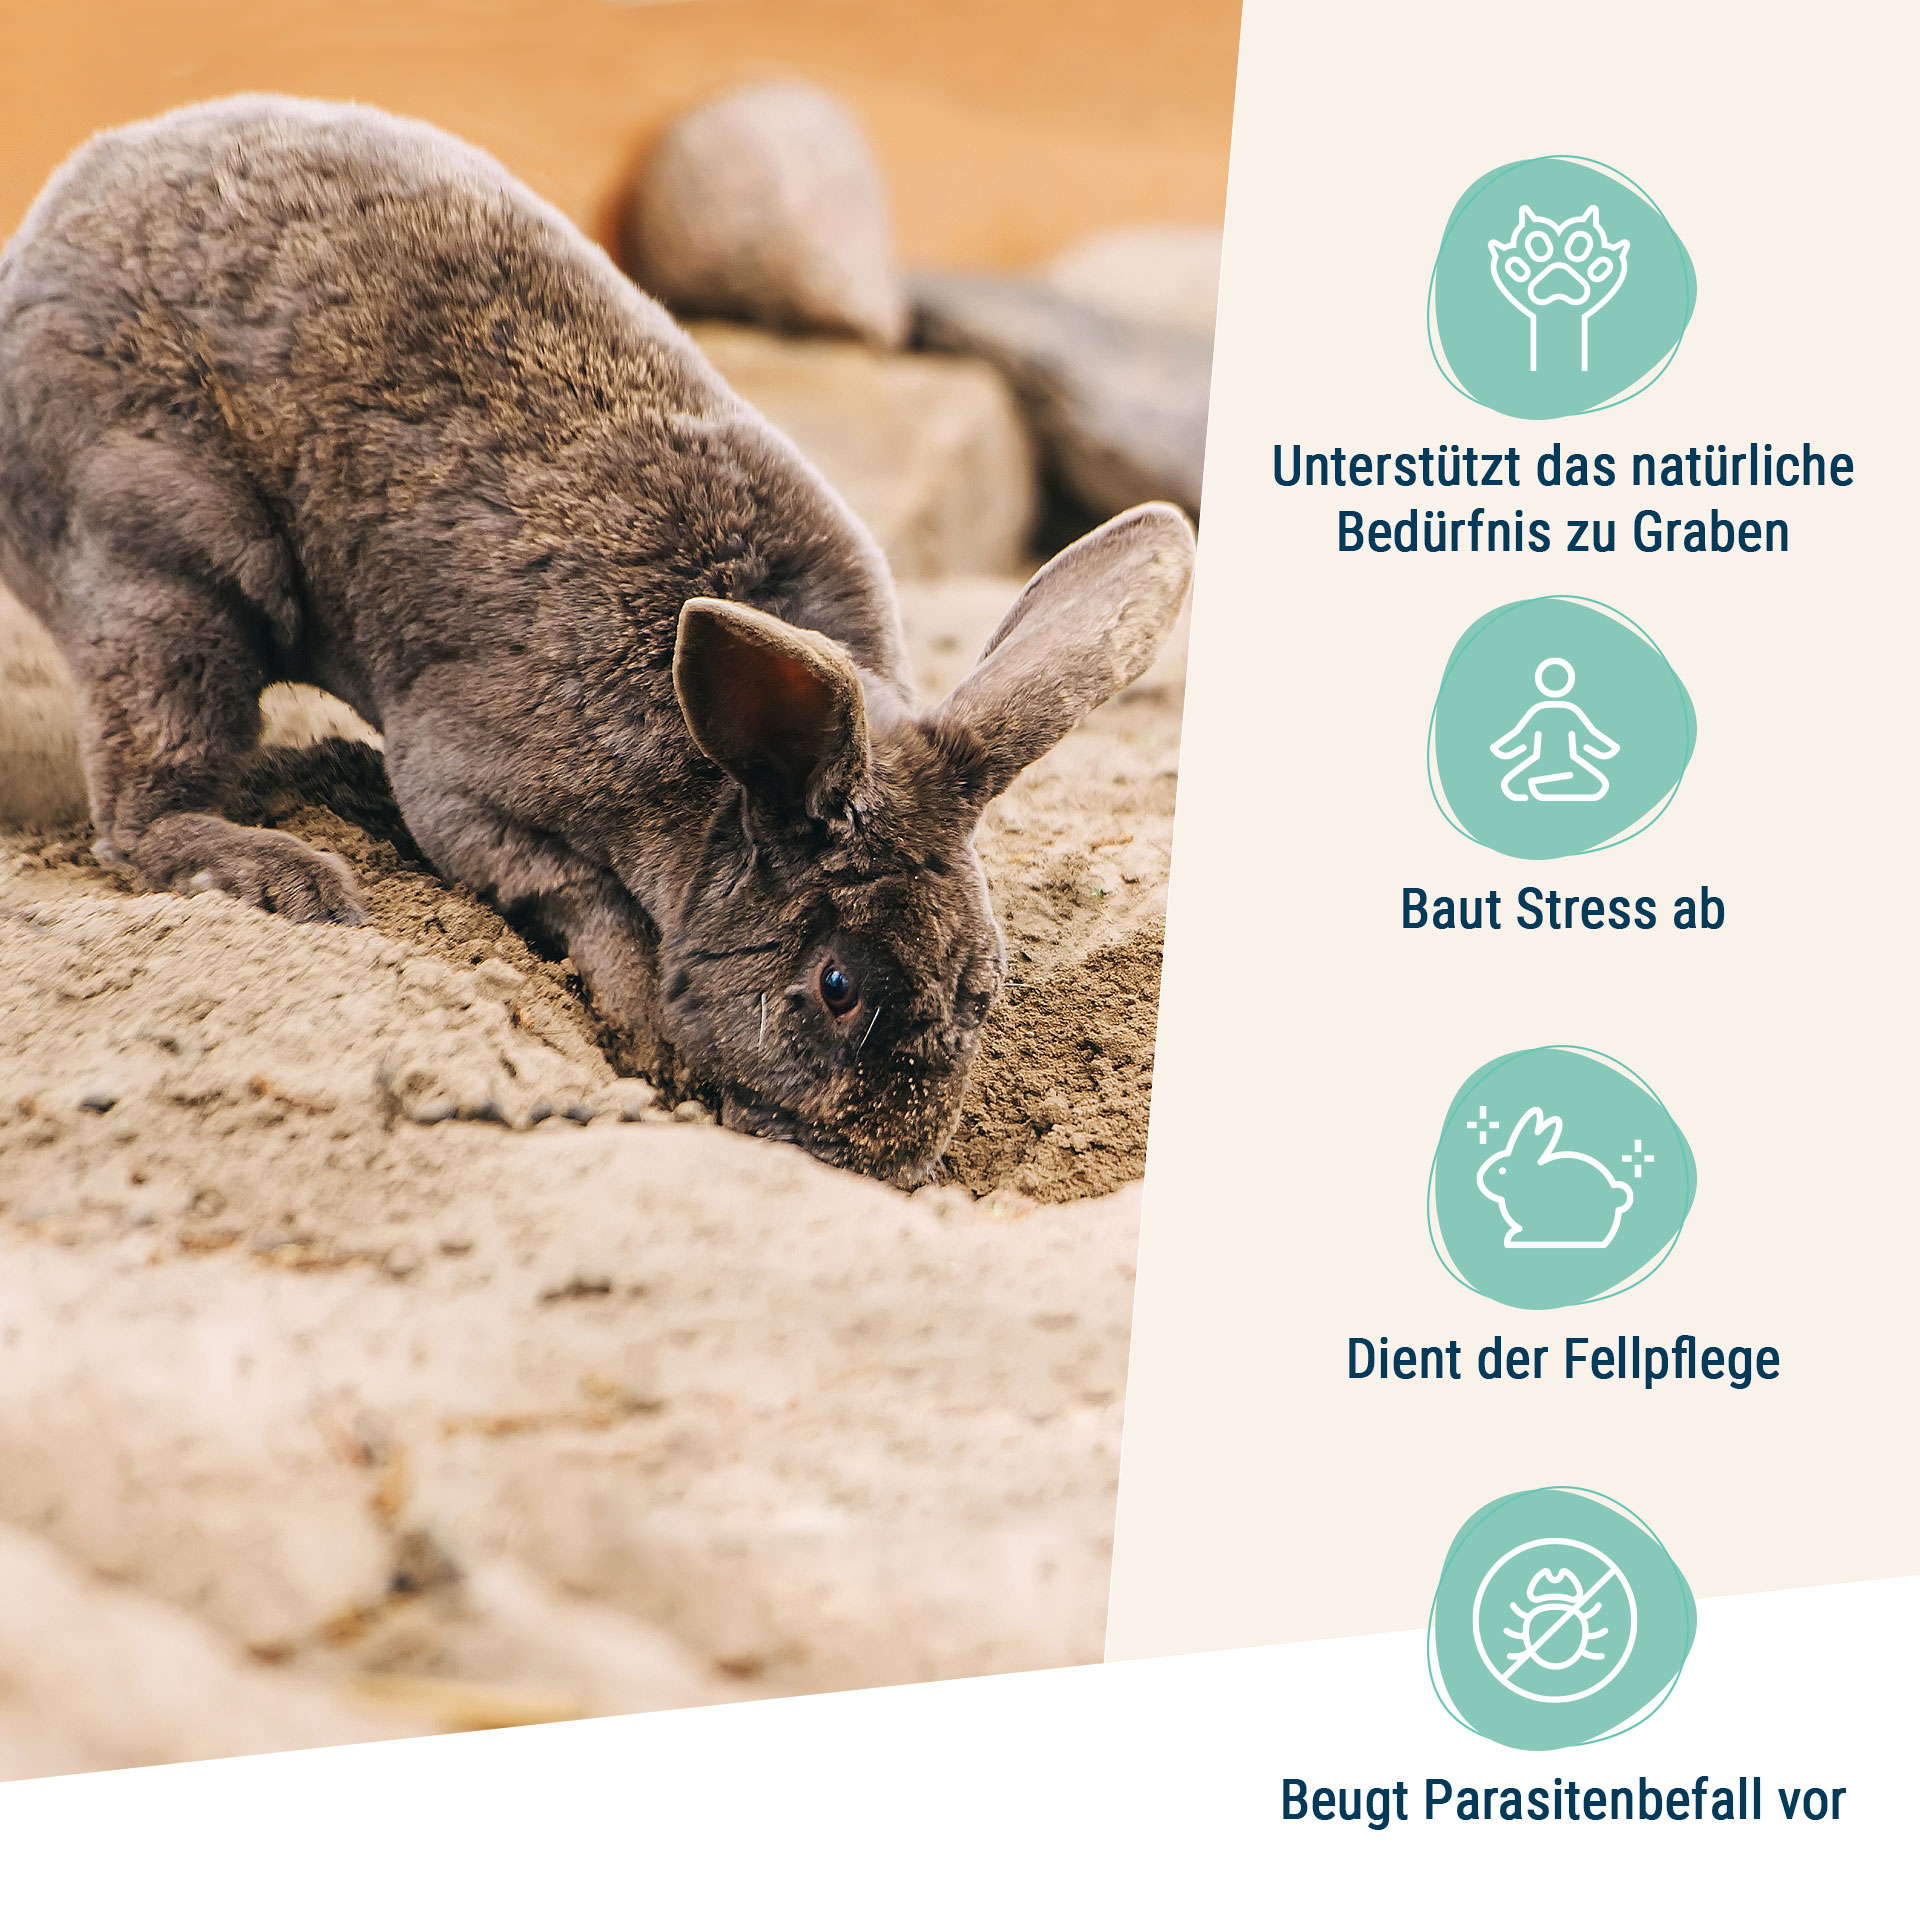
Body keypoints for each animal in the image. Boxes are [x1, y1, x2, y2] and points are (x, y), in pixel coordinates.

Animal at [0, 96, 1194, 1186]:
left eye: (980, 986)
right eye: (838, 987)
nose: (883, 1167)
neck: (716, 796)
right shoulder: (463, 788)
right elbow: (586, 905)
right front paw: (648, 1032)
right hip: (169, 569)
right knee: (143, 805)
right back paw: (286, 877)